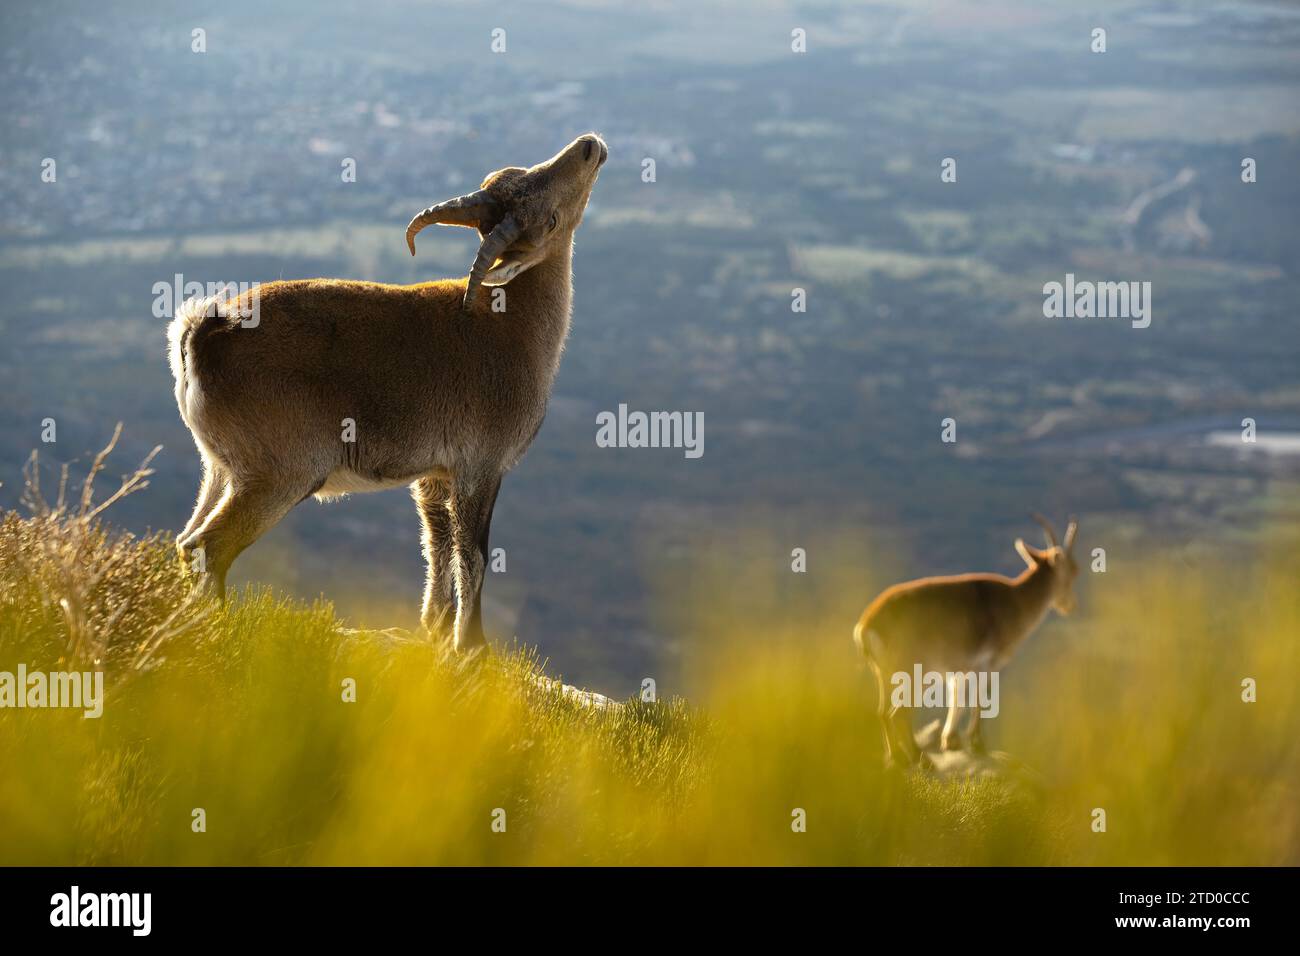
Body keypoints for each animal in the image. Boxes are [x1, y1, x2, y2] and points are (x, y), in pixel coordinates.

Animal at [167, 133, 608, 651]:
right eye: (551, 221)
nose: (589, 146)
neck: (513, 321)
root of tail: (203, 331)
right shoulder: (481, 466)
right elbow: (474, 556)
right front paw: (471, 647)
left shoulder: (435, 476)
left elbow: (438, 549)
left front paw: (432, 631)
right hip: (278, 474)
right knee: (210, 547)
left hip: (220, 469)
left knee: (186, 541)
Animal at [853, 515, 1079, 766]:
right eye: (1074, 570)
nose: (1070, 605)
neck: (1016, 601)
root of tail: (867, 625)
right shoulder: (988, 662)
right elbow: (981, 698)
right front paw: (978, 744)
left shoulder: (960, 669)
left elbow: (957, 698)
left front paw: (950, 742)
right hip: (911, 671)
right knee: (899, 712)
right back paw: (919, 757)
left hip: (882, 673)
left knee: (883, 712)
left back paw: (897, 756)